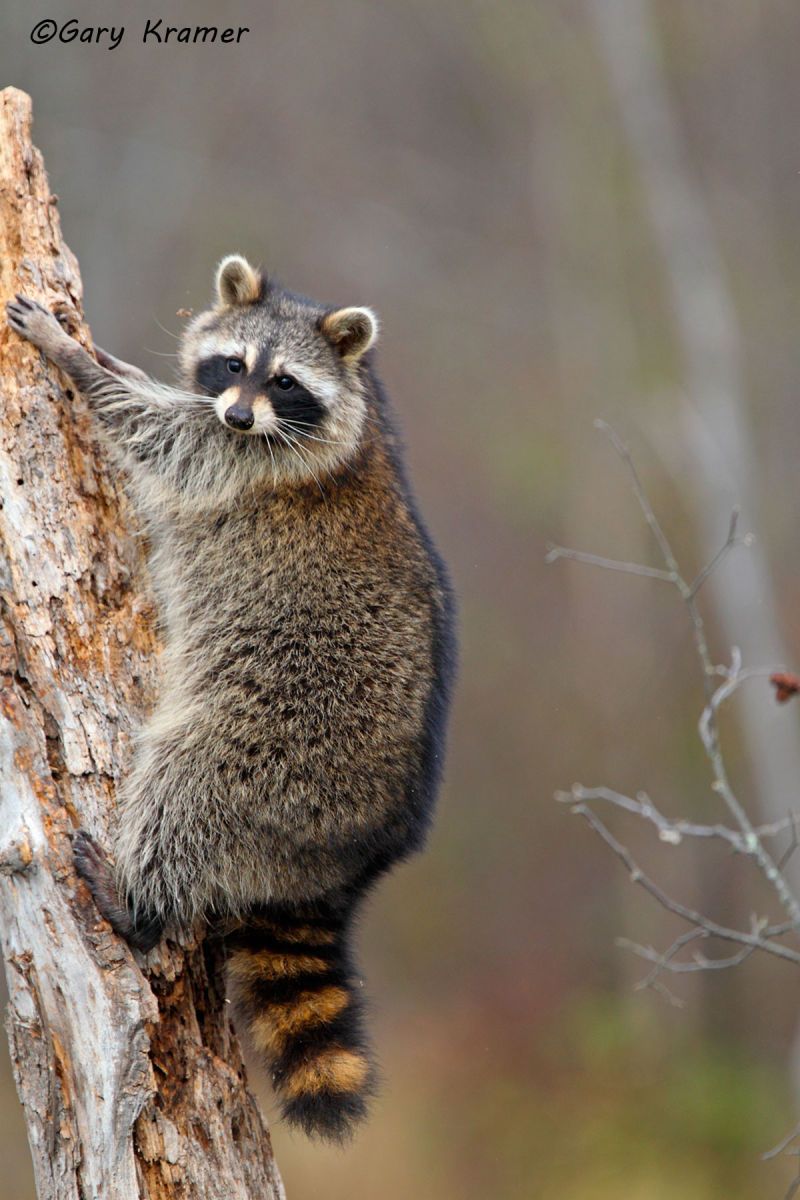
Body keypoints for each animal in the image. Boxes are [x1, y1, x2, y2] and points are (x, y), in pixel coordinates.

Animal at [6, 257, 456, 1142]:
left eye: (285, 382)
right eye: (233, 364)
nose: (242, 413)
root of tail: (360, 856)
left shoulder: (243, 460)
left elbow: (155, 433)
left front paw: (71, 359)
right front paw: (101, 357)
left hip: (274, 751)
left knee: (184, 789)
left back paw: (135, 902)